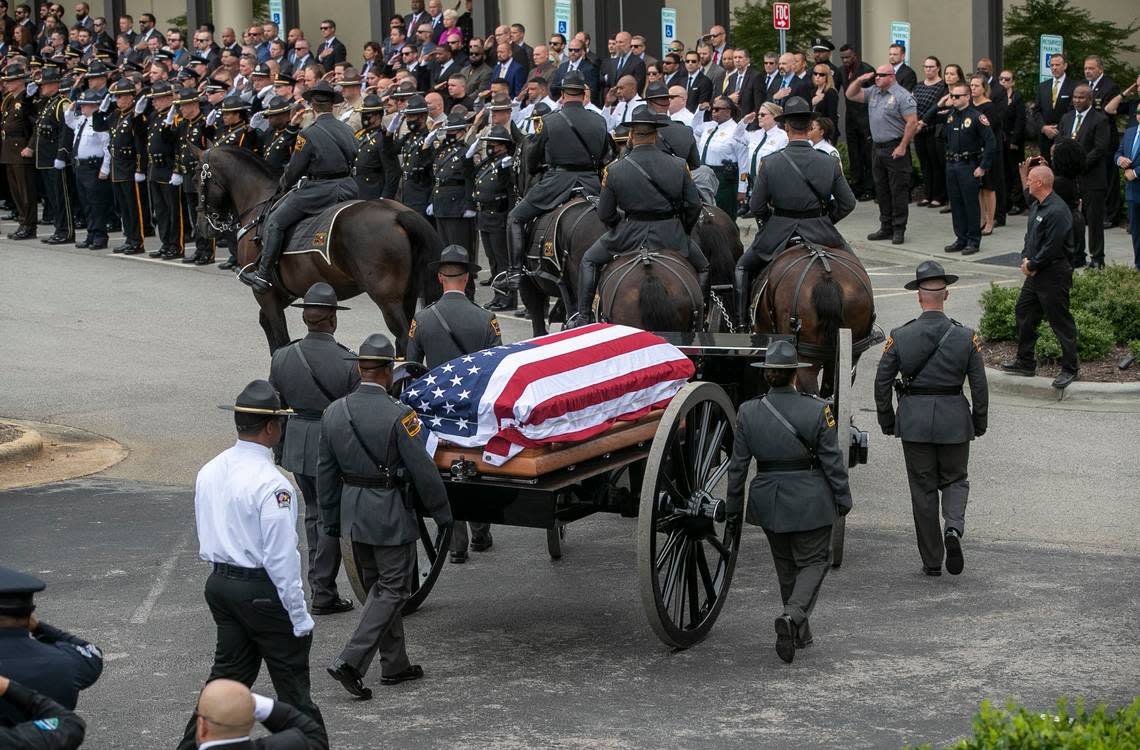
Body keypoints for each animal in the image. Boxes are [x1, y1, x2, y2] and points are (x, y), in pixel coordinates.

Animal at [191, 148, 440, 355]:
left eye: (196, 179)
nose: (203, 227)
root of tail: (398, 214)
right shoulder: (284, 292)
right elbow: (267, 325)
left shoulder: (265, 293)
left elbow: (279, 336)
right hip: (409, 294)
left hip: (387, 299)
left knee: (405, 340)